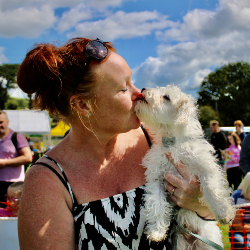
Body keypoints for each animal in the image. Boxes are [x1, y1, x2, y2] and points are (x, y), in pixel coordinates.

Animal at [135, 85, 234, 249]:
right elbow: (157, 204)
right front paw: (156, 232)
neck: (173, 143)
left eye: (166, 97)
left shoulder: (205, 167)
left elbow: (212, 189)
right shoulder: (157, 178)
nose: (143, 88)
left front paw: (224, 213)